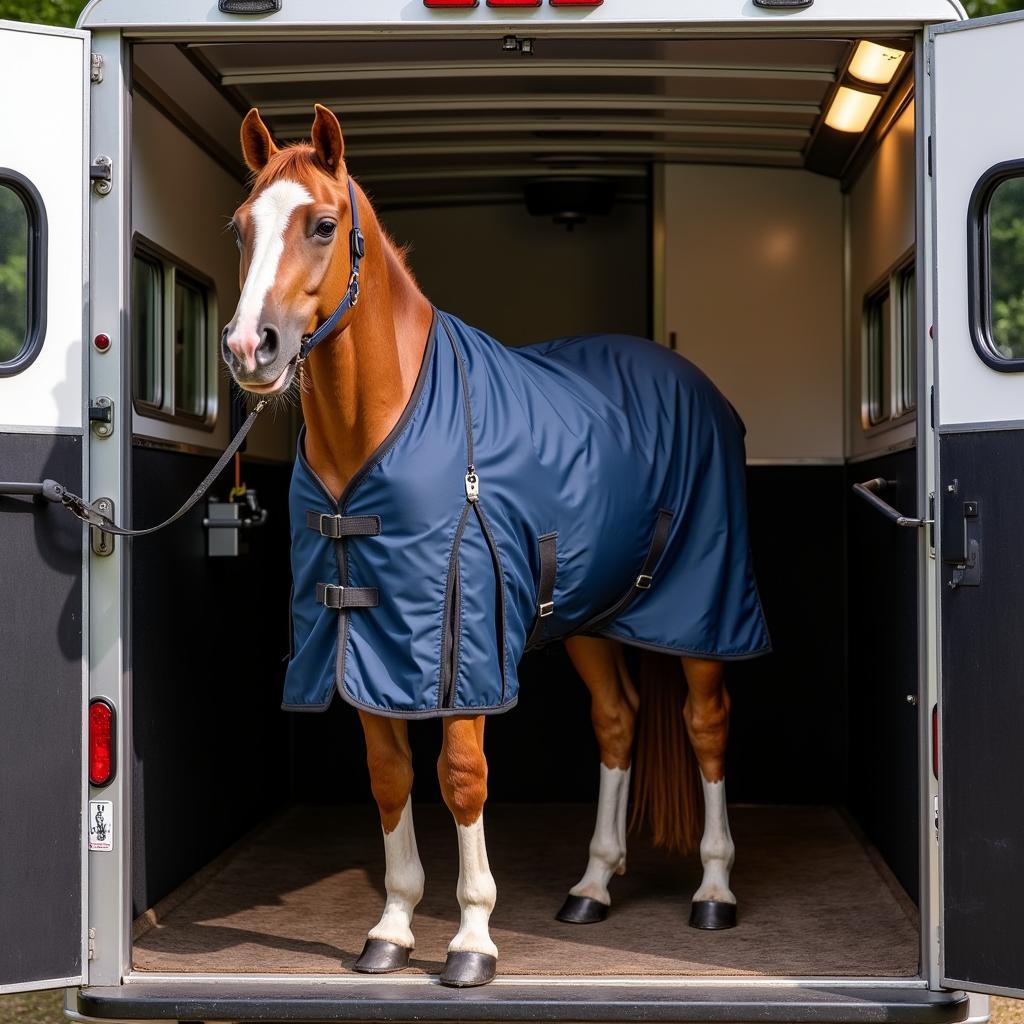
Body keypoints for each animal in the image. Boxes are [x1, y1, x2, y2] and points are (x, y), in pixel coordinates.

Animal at [222, 103, 737, 983]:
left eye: (322, 225)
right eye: (239, 228)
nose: (250, 347)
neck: (377, 426)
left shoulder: (460, 644)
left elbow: (461, 779)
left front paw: (470, 940)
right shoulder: (363, 641)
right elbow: (390, 777)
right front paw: (392, 929)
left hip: (700, 617)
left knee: (706, 724)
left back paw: (713, 889)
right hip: (589, 618)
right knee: (617, 723)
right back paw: (592, 886)